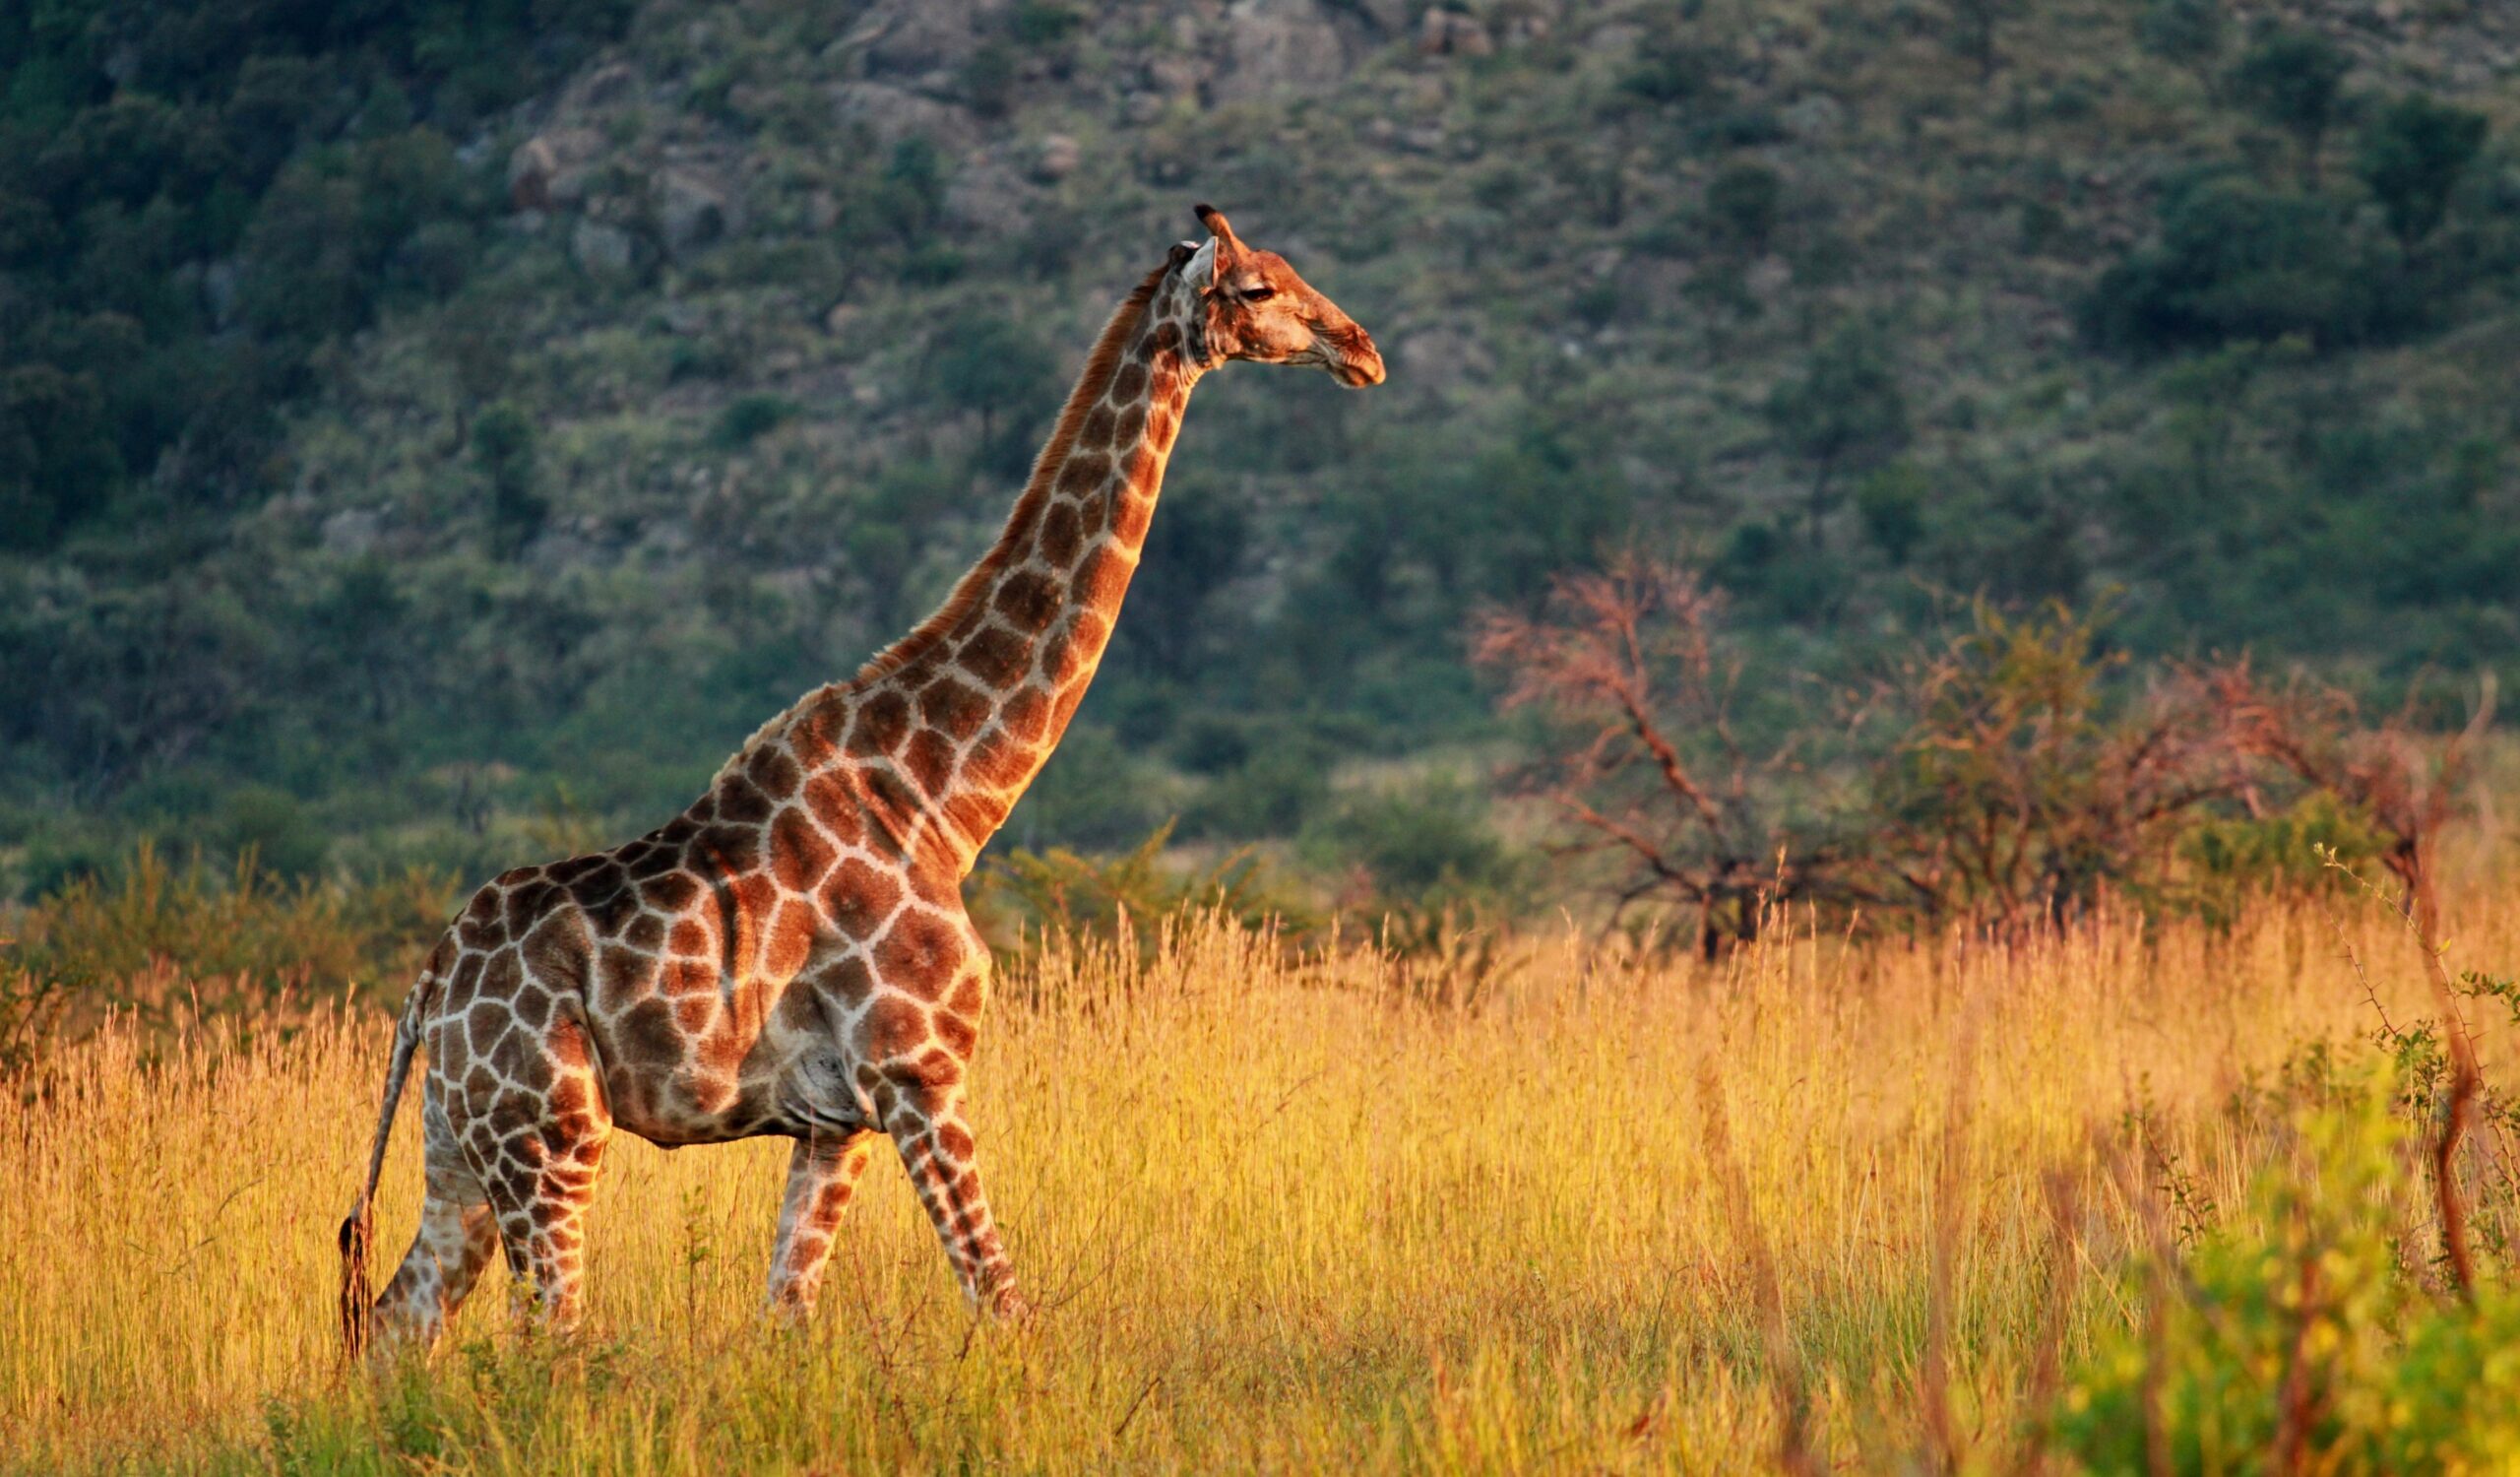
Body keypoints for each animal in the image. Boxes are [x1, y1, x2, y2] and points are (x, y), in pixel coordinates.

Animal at [338, 204, 1384, 1352]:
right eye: (1254, 287)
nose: (1360, 348)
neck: (938, 795)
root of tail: (430, 985)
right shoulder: (918, 1069)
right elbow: (1000, 1300)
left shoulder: (837, 1121)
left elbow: (786, 1314)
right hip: (551, 1134)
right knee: (547, 1336)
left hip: (461, 1147)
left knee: (392, 1323)